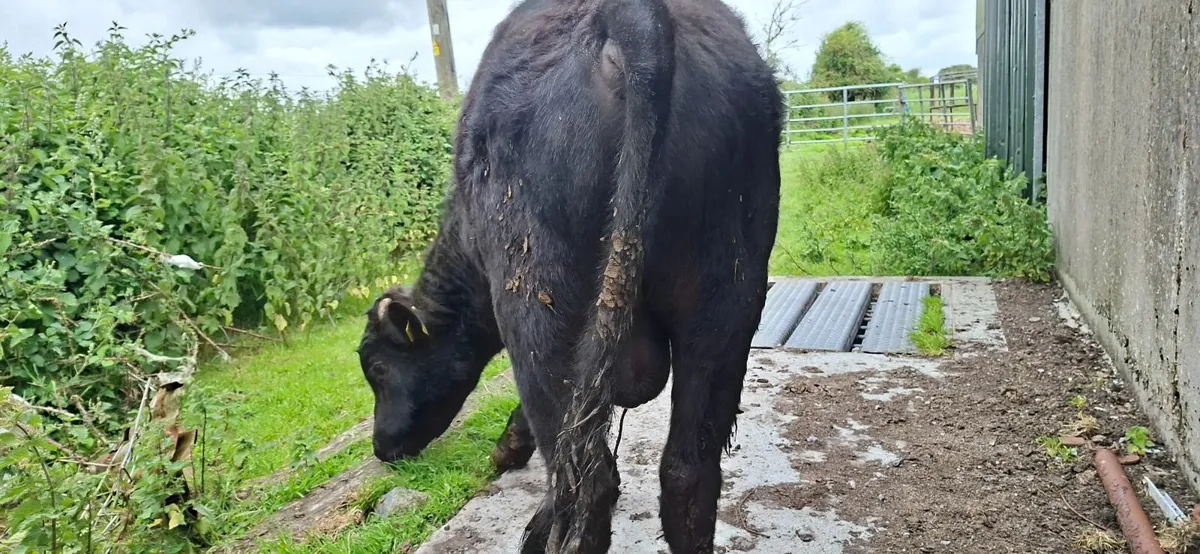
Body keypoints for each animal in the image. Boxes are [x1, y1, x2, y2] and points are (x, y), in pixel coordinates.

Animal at [356, 0, 783, 551]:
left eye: (378, 368)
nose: (381, 447)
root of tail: (634, 16)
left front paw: (507, 448)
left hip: (536, 298)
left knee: (584, 480)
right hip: (725, 294)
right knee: (687, 473)